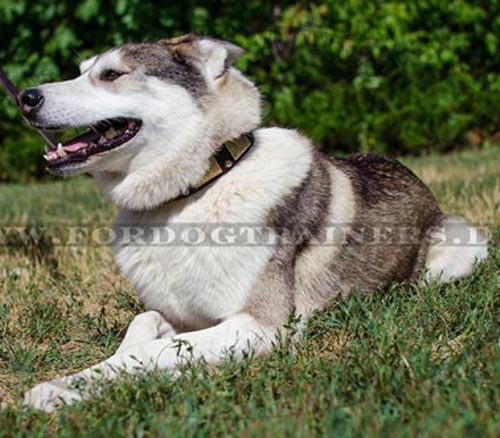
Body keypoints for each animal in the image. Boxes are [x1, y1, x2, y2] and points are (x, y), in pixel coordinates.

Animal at [18, 33, 488, 410]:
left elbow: (156, 351)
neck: (194, 192)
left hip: (460, 247)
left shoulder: (259, 327)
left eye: (112, 74)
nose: (25, 97)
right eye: (81, 72)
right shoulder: (178, 313)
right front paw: (66, 387)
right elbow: (140, 330)